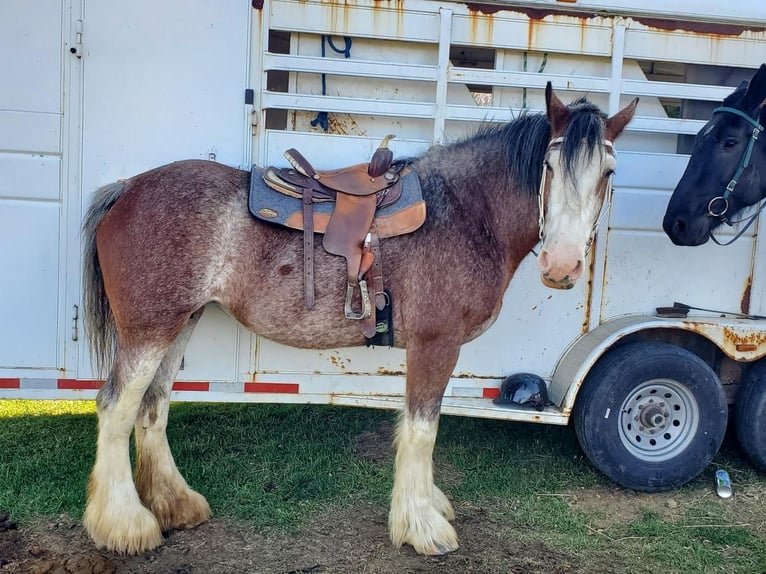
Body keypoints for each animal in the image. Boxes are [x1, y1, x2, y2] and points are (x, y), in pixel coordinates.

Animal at [81, 83, 640, 556]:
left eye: (609, 174)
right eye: (549, 167)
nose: (562, 266)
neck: (464, 213)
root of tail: (127, 189)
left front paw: (428, 506)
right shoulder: (436, 344)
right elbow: (422, 430)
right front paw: (422, 527)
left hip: (182, 322)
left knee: (152, 408)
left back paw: (175, 505)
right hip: (150, 329)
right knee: (115, 407)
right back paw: (126, 525)